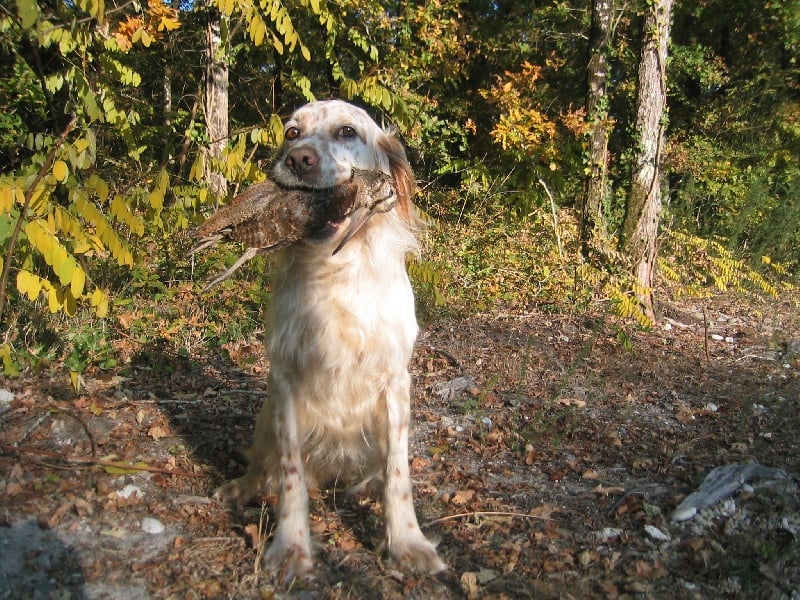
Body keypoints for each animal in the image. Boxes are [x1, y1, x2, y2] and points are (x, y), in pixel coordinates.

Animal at [216, 101, 446, 580]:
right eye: (291, 131)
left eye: (347, 132)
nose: (298, 159)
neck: (337, 271)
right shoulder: (284, 379)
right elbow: (289, 476)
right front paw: (290, 546)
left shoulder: (395, 381)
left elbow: (399, 478)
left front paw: (407, 542)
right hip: (265, 413)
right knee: (262, 464)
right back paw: (242, 488)